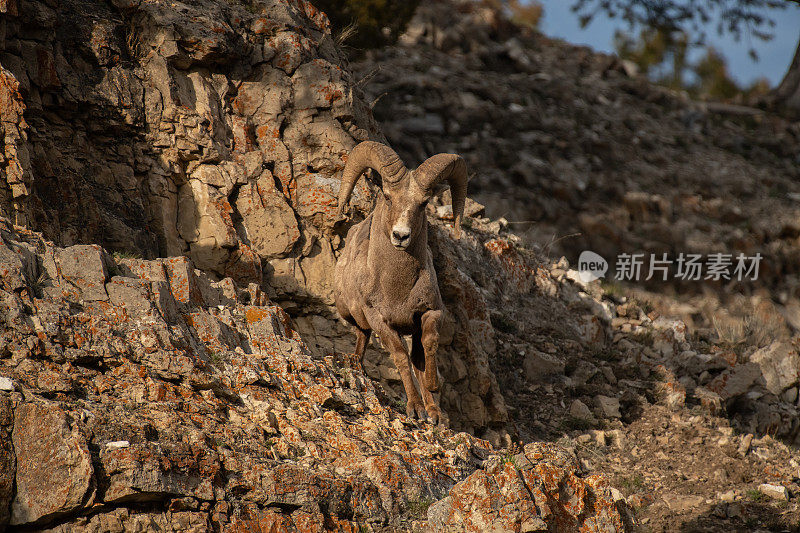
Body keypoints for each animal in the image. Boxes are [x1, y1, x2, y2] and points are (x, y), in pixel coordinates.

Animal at [332, 142, 468, 424]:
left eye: (423, 203)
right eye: (387, 196)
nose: (400, 236)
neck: (398, 289)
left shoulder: (431, 312)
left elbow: (428, 346)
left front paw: (432, 395)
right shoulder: (380, 322)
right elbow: (401, 358)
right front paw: (414, 409)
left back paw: (434, 412)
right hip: (352, 316)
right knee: (363, 336)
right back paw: (355, 364)